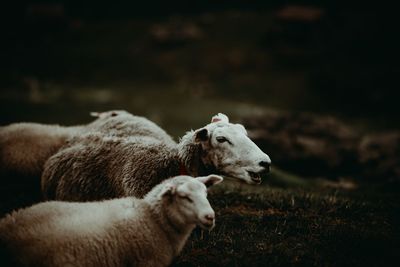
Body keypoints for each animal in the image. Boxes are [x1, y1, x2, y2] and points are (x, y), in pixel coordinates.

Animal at [0, 175, 222, 267]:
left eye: (206, 193)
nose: (210, 217)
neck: (152, 219)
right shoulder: (146, 261)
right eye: (184, 196)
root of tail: (7, 224)